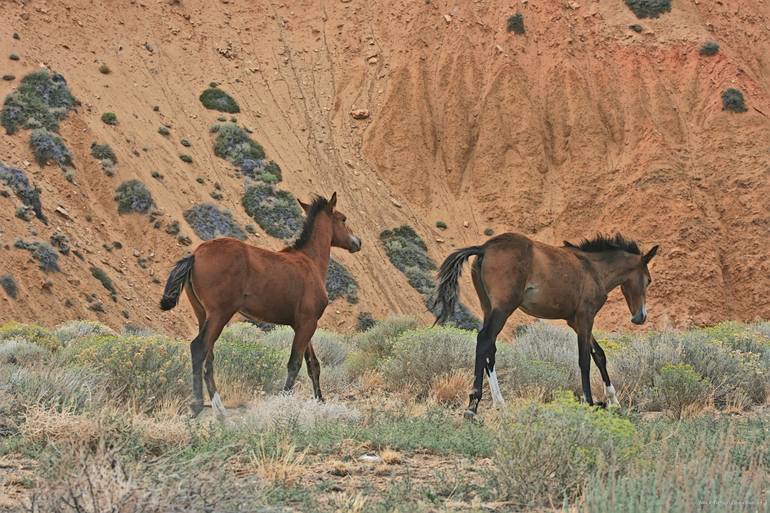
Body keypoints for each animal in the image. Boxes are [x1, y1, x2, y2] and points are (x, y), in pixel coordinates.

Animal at [158, 192, 360, 416]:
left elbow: (313, 365)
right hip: (220, 314)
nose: (357, 242)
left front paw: (320, 401)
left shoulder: (303, 324)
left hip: (203, 314)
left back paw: (219, 409)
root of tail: (195, 255)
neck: (310, 262)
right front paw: (283, 402)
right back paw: (197, 406)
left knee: (208, 357)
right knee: (199, 348)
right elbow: (295, 363)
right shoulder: (308, 323)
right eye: (343, 219)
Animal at [436, 234, 656, 418]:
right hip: (503, 308)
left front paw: (614, 400)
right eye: (648, 280)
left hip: (487, 308)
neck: (593, 269)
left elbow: (599, 355)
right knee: (484, 341)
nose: (640, 317)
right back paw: (472, 407)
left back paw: (500, 403)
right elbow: (584, 360)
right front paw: (589, 402)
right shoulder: (586, 317)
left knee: (490, 349)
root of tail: (484, 248)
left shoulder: (575, 321)